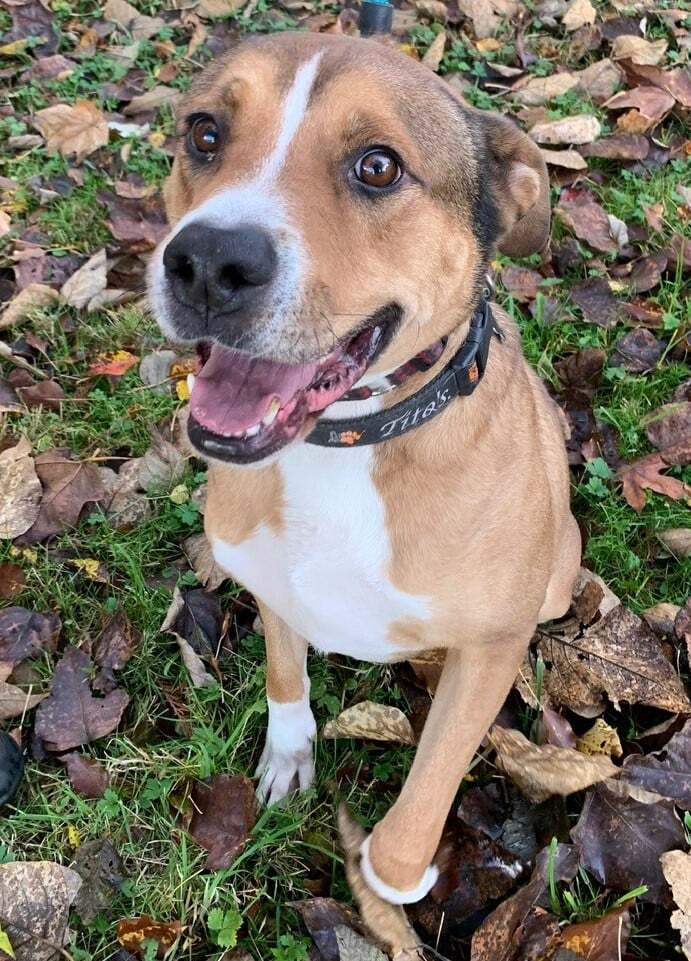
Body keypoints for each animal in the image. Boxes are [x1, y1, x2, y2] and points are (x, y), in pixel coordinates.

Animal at [149, 33, 580, 908]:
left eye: (377, 166)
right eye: (205, 133)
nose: (206, 262)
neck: (344, 446)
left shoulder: (491, 649)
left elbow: (433, 775)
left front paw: (392, 882)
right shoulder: (271, 586)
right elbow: (285, 675)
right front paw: (288, 756)